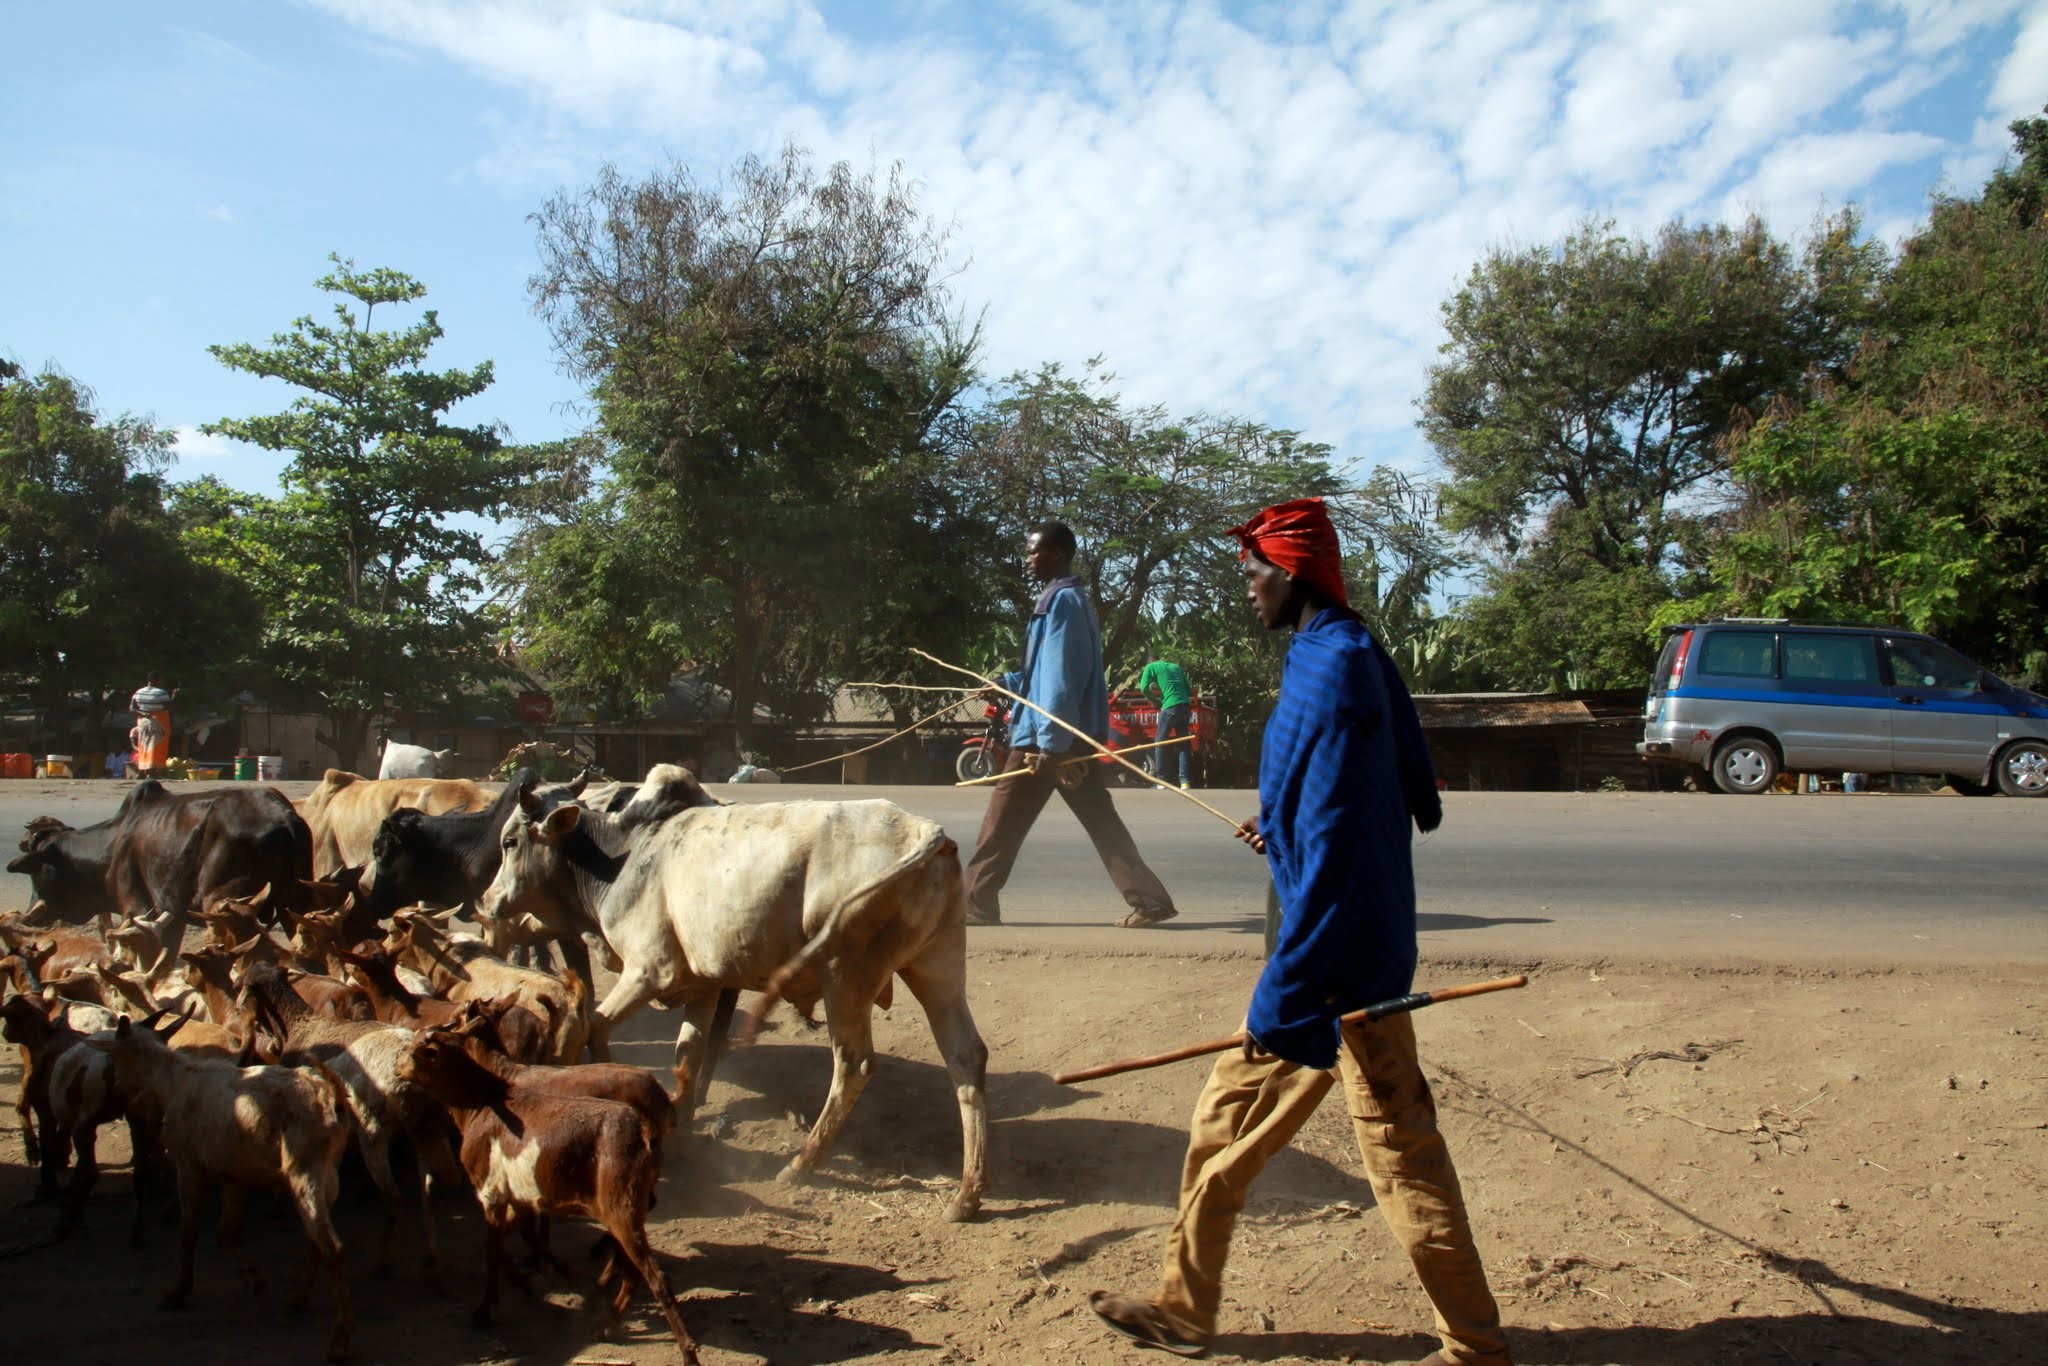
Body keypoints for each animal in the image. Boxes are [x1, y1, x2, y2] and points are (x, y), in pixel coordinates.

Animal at [479, 765, 991, 1220]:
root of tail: (926, 831)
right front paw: (680, 1133)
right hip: (936, 965)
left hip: (845, 973)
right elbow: (687, 1054)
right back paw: (967, 1194)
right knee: (966, 1057)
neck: (624, 856)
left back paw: (801, 1164)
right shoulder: (702, 986)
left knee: (854, 1064)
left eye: (509, 842)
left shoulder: (648, 971)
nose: (486, 902)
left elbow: (597, 1026)